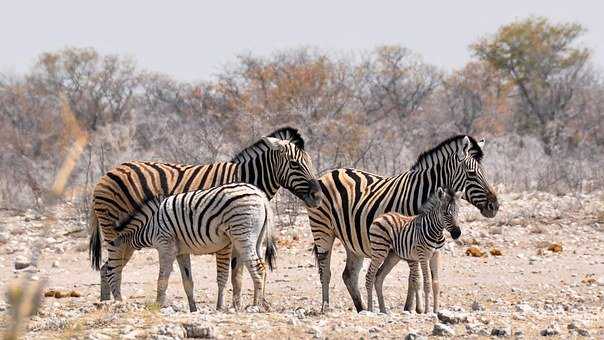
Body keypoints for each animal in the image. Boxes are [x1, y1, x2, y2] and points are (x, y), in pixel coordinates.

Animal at [110, 185, 276, 312]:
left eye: (113, 256)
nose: (117, 301)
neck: (149, 226)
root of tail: (260, 195)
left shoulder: (165, 246)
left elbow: (162, 279)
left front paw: (157, 305)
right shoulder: (181, 252)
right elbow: (187, 282)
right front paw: (193, 308)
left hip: (243, 237)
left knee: (259, 269)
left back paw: (256, 306)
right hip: (256, 239)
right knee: (263, 267)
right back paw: (262, 303)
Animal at [310, 134, 498, 312]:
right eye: (472, 174)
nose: (494, 206)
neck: (421, 193)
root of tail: (332, 172)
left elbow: (414, 278)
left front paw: (410, 307)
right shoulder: (409, 239)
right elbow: (415, 278)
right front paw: (417, 308)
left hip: (353, 242)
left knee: (349, 275)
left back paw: (361, 308)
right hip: (322, 230)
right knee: (324, 271)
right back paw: (325, 307)